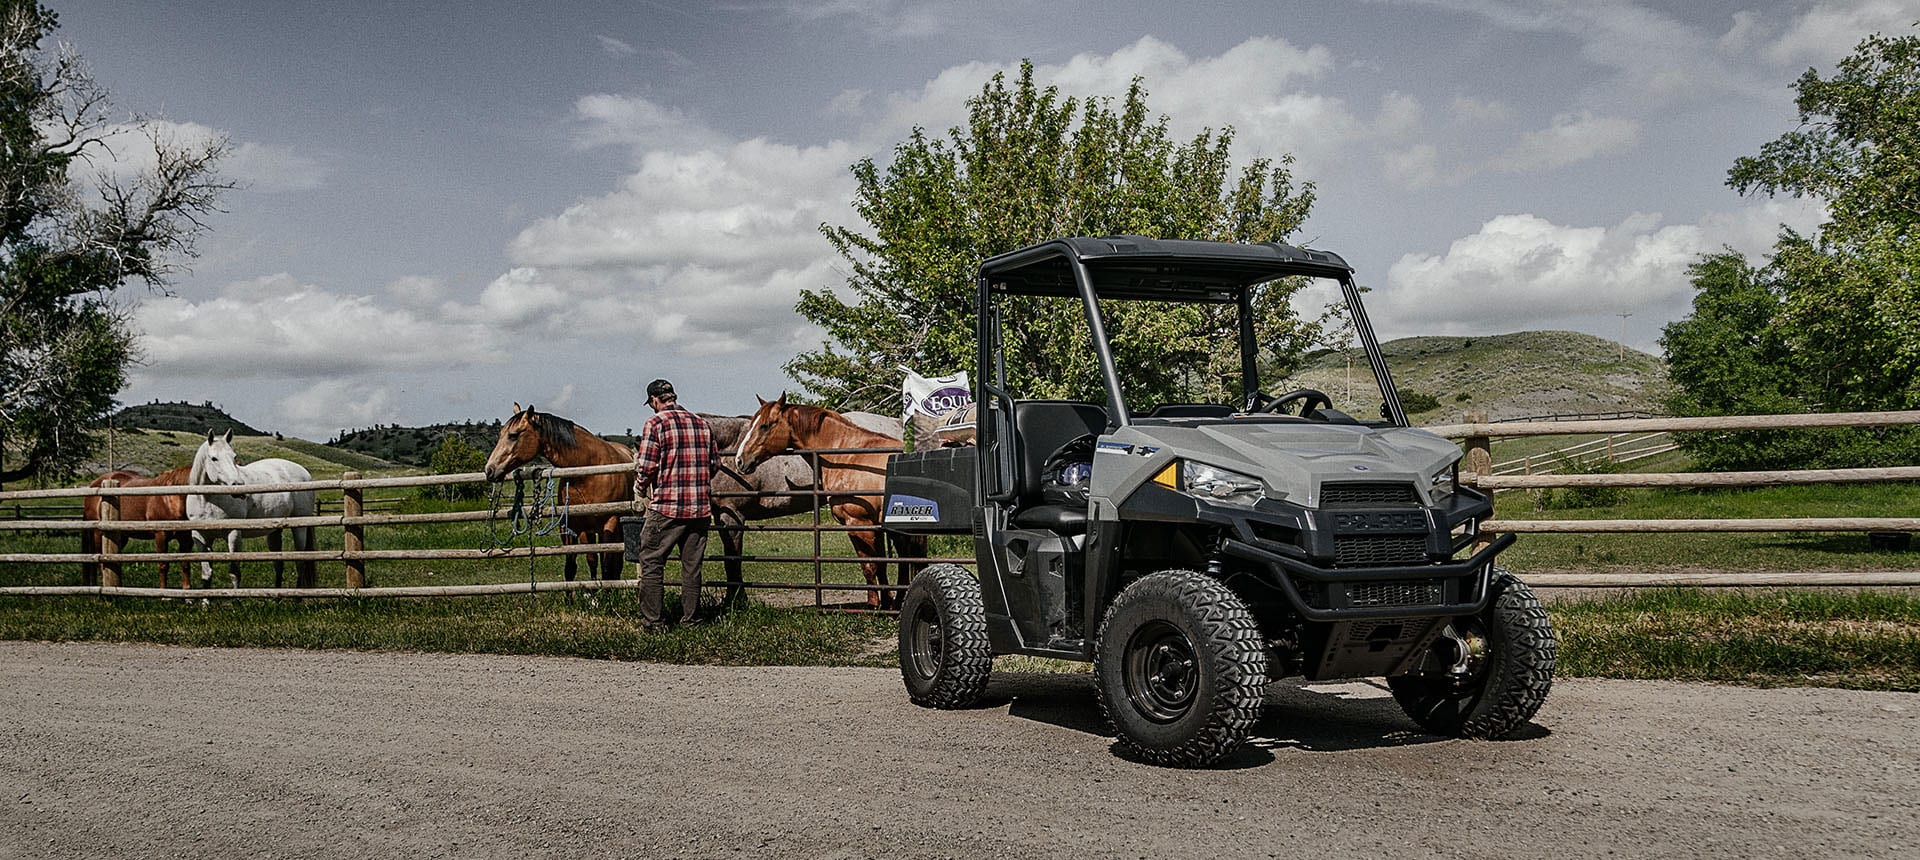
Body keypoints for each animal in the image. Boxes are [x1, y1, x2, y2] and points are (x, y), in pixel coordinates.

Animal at [188, 430, 318, 591]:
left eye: (234, 457)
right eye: (214, 458)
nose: (238, 485)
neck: (208, 500)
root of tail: (305, 473)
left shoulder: (234, 534)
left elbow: (234, 573)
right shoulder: (200, 536)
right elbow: (207, 573)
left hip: (300, 527)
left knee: (300, 563)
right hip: (275, 531)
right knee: (279, 564)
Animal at [483, 405, 633, 579]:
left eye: (513, 435)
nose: (490, 470)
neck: (588, 471)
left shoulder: (610, 524)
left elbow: (608, 568)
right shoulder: (570, 527)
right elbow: (573, 566)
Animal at [729, 393, 925, 606]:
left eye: (764, 426)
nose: (740, 460)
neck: (848, 457)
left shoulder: (859, 524)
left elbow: (869, 567)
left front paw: (874, 606)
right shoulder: (876, 526)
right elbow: (881, 565)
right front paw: (887, 604)